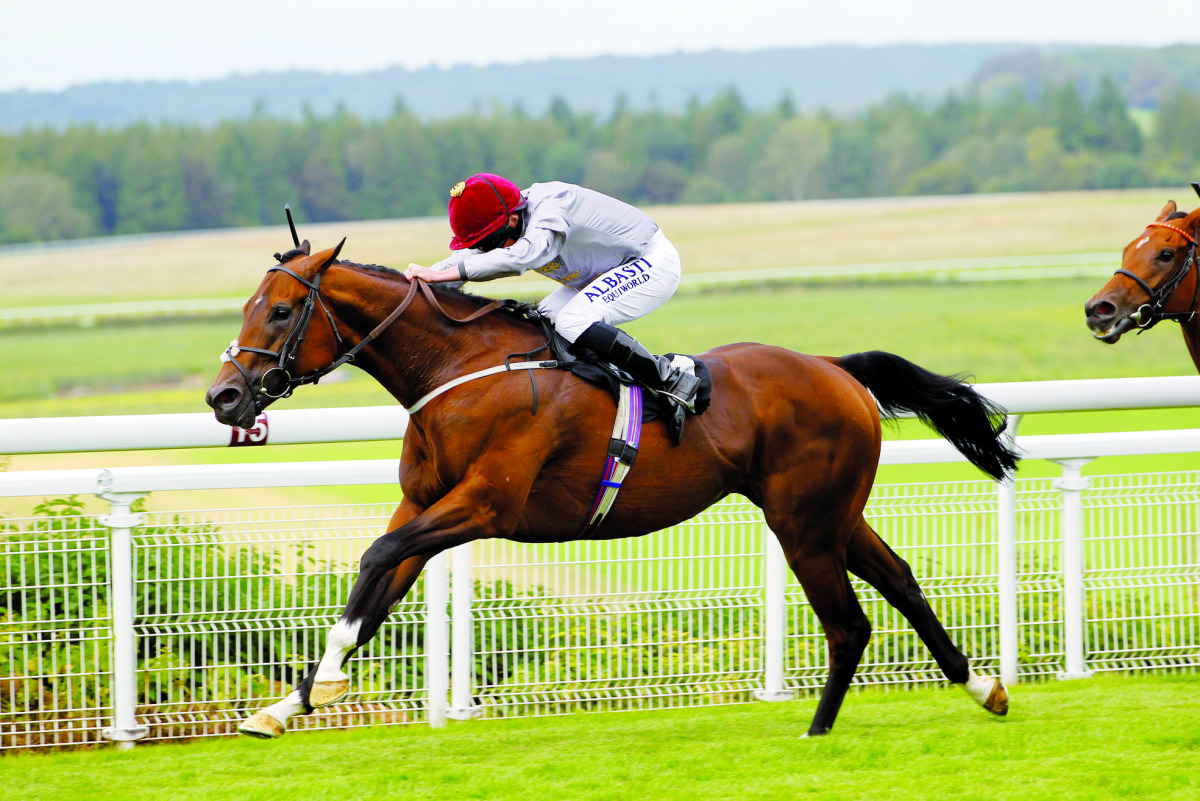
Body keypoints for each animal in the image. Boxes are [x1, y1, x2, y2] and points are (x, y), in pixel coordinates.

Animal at [204, 242, 1012, 738]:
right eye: (247, 306)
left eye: (281, 311)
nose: (224, 397)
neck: (459, 369)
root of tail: (833, 368)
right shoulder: (426, 504)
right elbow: (374, 595)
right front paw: (284, 705)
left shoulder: (483, 505)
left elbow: (376, 557)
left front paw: (320, 687)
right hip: (832, 512)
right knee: (901, 582)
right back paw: (984, 688)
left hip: (803, 521)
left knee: (848, 623)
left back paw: (816, 733)